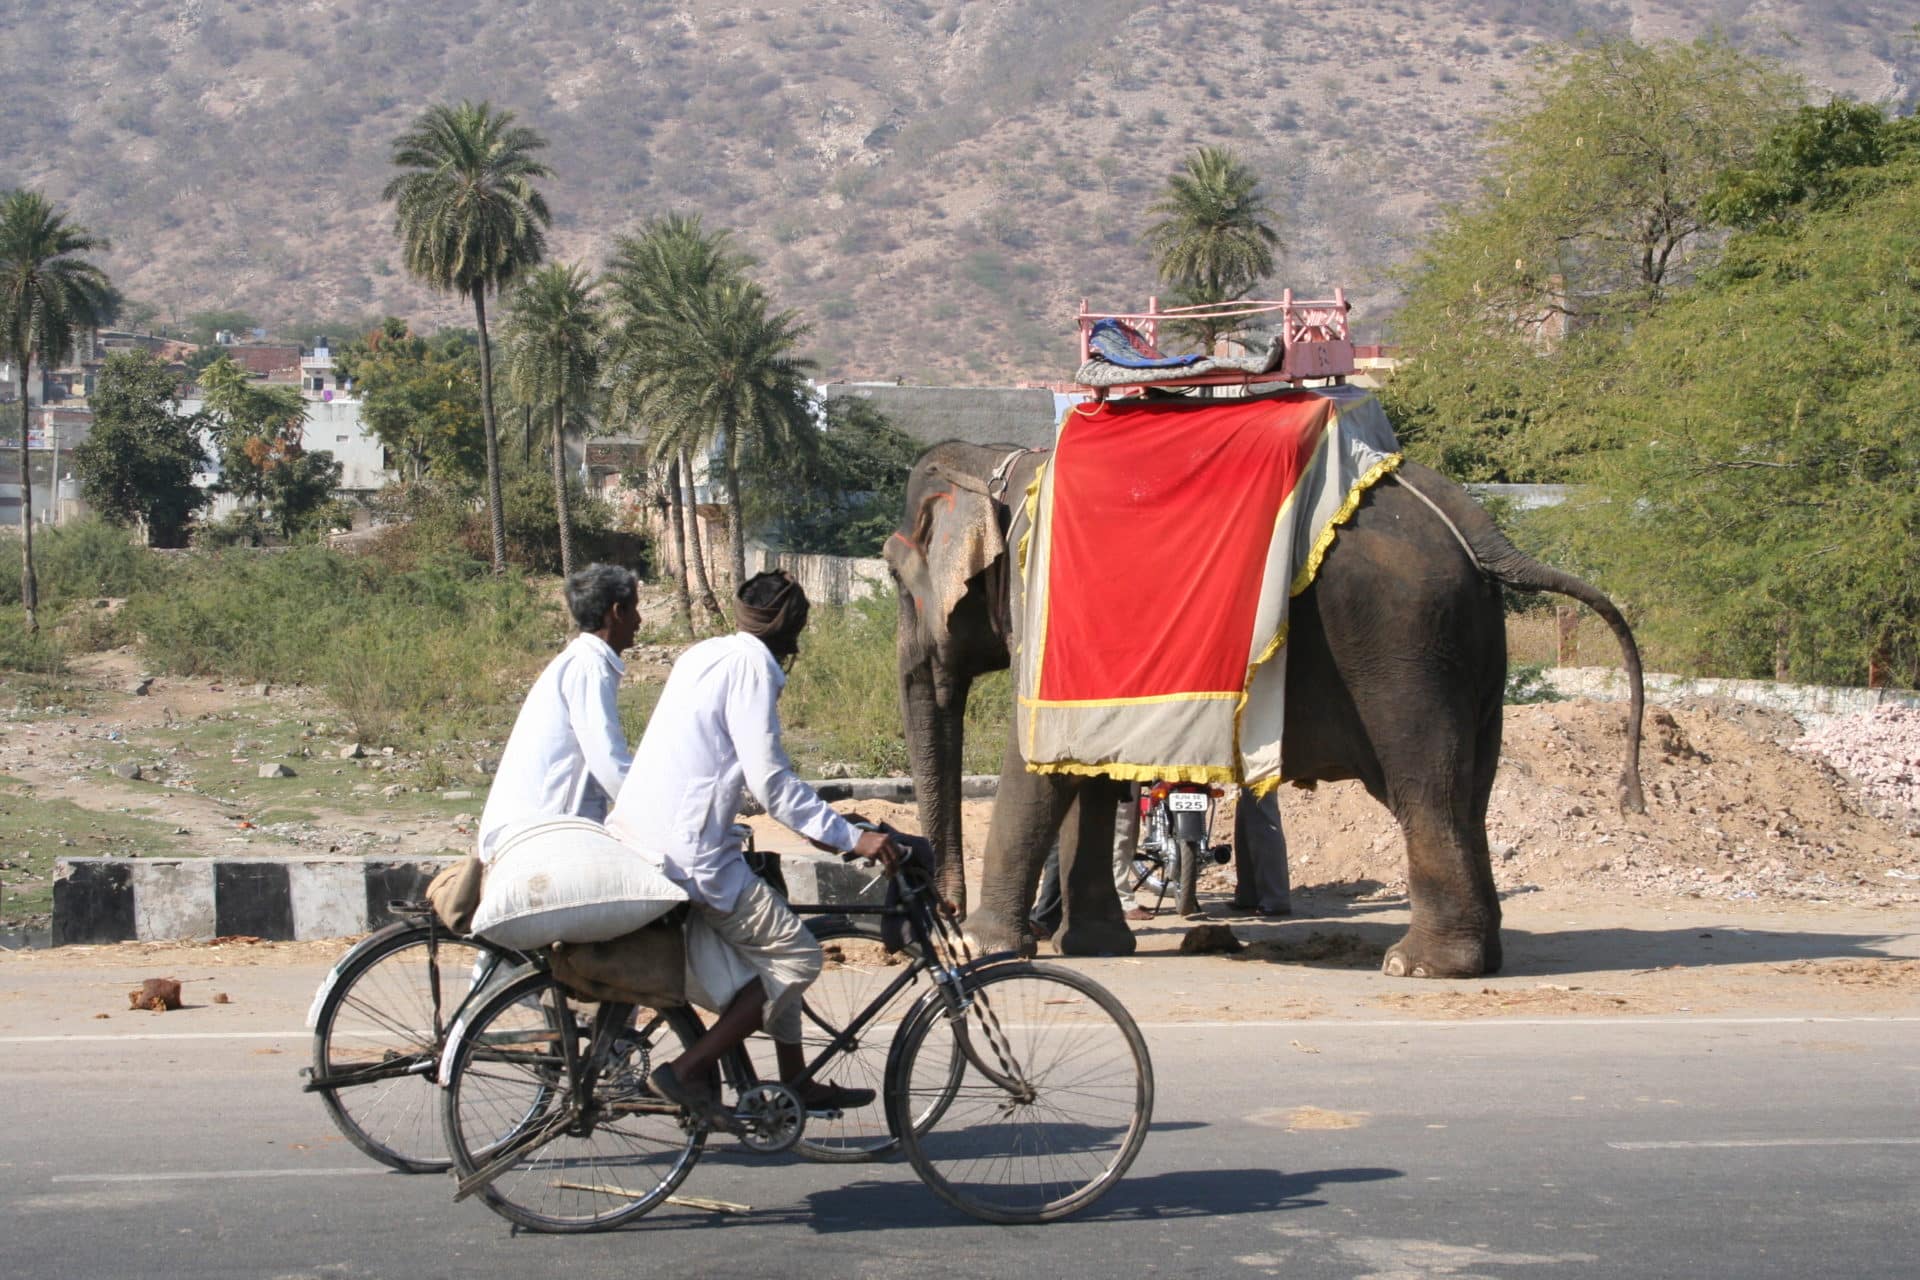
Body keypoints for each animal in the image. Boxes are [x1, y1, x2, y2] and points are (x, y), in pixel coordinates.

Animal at [883, 441, 1651, 982]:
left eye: (894, 577)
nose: (938, 917)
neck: (995, 462)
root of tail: (1476, 526)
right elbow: (1089, 762)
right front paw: (1095, 947)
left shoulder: (1047, 607)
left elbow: (1038, 754)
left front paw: (986, 947)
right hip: (1475, 645)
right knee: (1472, 793)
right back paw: (1477, 958)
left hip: (1402, 640)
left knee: (1425, 788)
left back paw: (1420, 966)